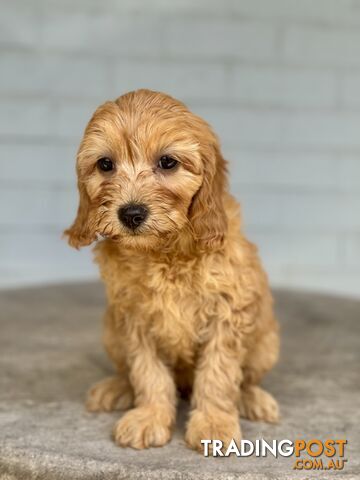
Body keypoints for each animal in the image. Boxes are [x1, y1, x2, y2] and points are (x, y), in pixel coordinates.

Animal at [67, 89, 282, 450]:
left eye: (168, 162)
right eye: (105, 164)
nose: (131, 213)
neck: (164, 251)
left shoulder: (227, 312)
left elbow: (218, 374)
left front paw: (214, 424)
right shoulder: (135, 317)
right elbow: (148, 372)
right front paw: (150, 416)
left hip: (266, 343)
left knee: (245, 379)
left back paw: (252, 399)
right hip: (111, 332)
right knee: (127, 372)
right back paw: (116, 388)